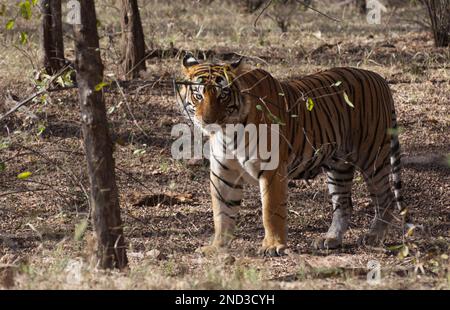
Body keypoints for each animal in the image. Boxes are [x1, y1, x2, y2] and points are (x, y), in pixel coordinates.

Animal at [176, 54, 404, 256]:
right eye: (198, 95)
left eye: (222, 95)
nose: (208, 120)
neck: (227, 131)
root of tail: (379, 78)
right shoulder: (224, 173)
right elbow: (222, 213)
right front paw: (217, 247)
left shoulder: (272, 169)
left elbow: (271, 210)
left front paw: (273, 246)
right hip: (338, 166)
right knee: (344, 204)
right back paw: (330, 239)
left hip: (372, 156)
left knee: (385, 197)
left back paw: (374, 235)